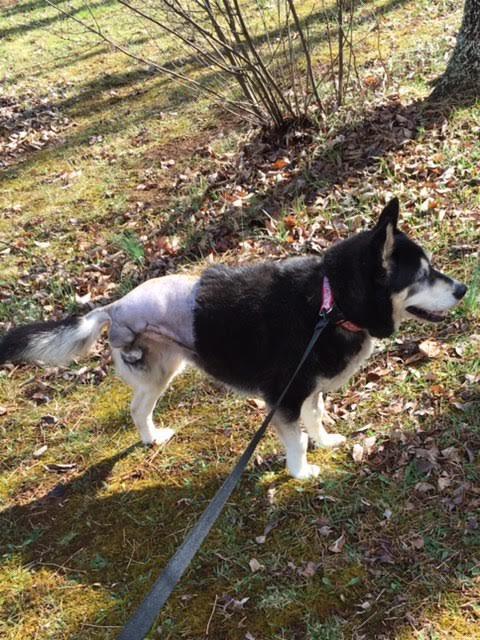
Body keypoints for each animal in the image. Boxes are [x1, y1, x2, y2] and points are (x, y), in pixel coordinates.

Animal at [0, 198, 464, 478]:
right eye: (422, 275)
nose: (462, 289)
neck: (330, 301)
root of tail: (112, 306)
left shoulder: (309, 391)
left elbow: (316, 420)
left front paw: (326, 442)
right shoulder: (285, 398)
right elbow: (296, 440)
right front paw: (301, 473)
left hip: (164, 370)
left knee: (137, 408)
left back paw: (152, 439)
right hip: (153, 370)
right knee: (136, 407)